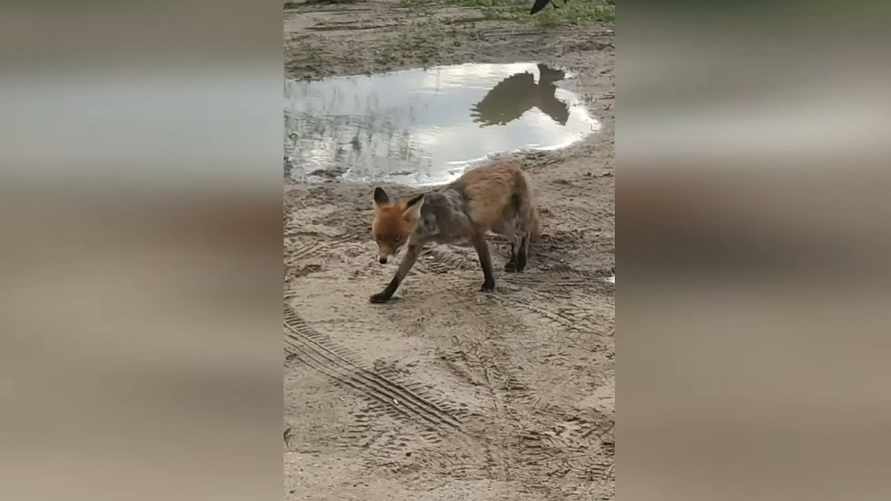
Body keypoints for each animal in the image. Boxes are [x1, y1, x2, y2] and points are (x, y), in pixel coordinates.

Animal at [369, 161, 539, 304]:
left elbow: (486, 264)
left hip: (510, 220)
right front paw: (384, 295)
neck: (434, 225)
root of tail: (514, 165)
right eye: (377, 238)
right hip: (499, 226)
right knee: (516, 238)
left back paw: (521, 261)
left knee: (524, 234)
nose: (382, 260)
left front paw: (489, 285)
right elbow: (398, 276)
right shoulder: (415, 246)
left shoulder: (476, 234)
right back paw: (513, 262)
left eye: (397, 239)